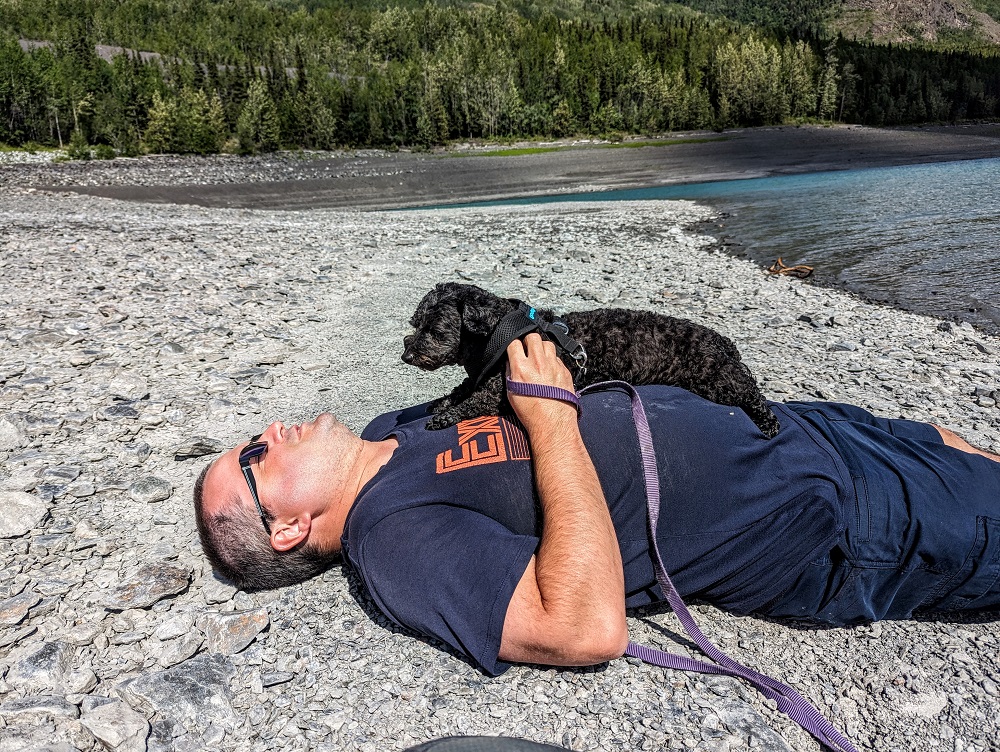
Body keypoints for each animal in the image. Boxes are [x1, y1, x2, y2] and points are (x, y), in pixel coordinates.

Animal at [400, 280, 780, 434]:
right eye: (414, 324)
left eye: (434, 330)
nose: (406, 354)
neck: (498, 334)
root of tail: (722, 340)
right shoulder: (479, 377)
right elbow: (461, 389)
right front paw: (442, 402)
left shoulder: (499, 393)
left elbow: (474, 402)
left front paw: (446, 416)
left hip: (717, 379)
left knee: (752, 393)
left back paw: (768, 422)